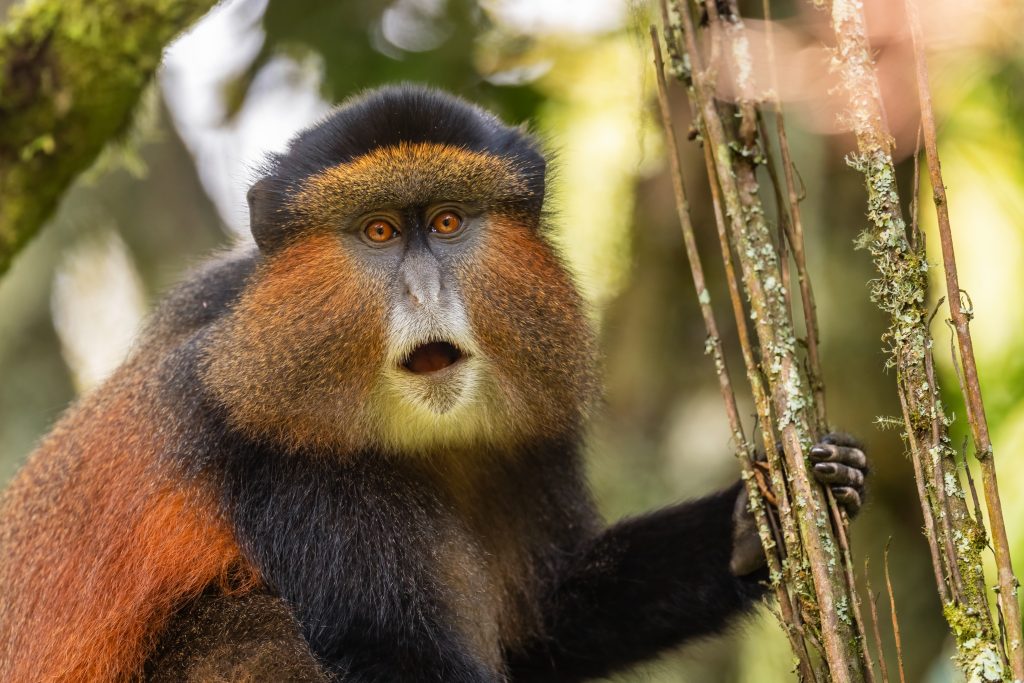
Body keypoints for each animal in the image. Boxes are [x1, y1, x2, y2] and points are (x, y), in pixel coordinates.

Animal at [0, 85, 868, 682]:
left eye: (447, 221)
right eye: (380, 232)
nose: (422, 292)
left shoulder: (534, 431)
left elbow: (551, 616)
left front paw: (762, 518)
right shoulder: (275, 451)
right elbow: (402, 656)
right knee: (246, 626)